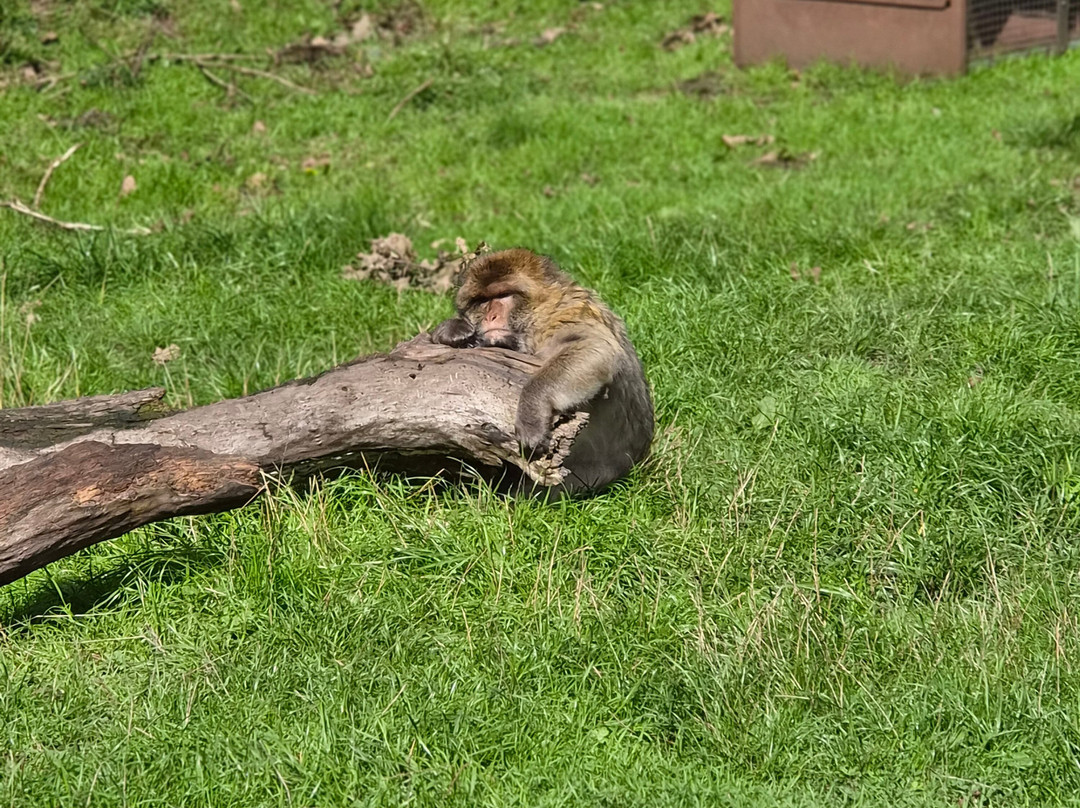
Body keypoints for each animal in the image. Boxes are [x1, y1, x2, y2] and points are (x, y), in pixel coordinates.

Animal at [432, 248, 654, 496]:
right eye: (481, 301)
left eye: (503, 295)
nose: (491, 317)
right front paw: (453, 329)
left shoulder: (564, 316)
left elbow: (595, 348)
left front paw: (532, 414)